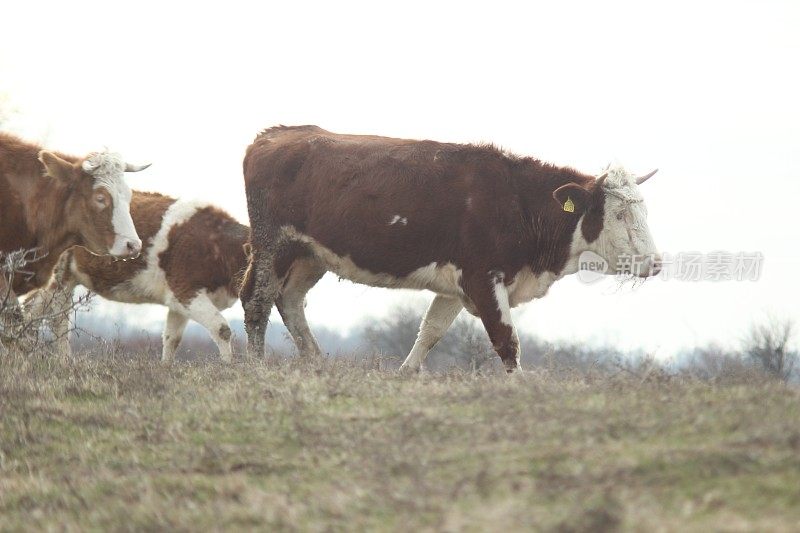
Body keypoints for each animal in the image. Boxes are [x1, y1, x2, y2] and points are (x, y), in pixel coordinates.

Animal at [26, 191, 248, 362]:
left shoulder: (178, 299)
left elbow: (171, 338)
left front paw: (166, 368)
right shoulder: (186, 291)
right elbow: (221, 328)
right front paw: (228, 367)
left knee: (38, 311)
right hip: (58, 275)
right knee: (54, 318)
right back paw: (60, 361)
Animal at [239, 126, 664, 372]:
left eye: (643, 210)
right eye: (620, 214)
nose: (656, 263)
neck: (518, 201)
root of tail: (276, 135)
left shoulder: (457, 285)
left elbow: (430, 331)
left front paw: (406, 375)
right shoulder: (484, 278)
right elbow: (507, 342)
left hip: (309, 255)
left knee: (289, 300)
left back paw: (317, 365)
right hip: (273, 243)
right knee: (257, 301)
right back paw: (258, 372)